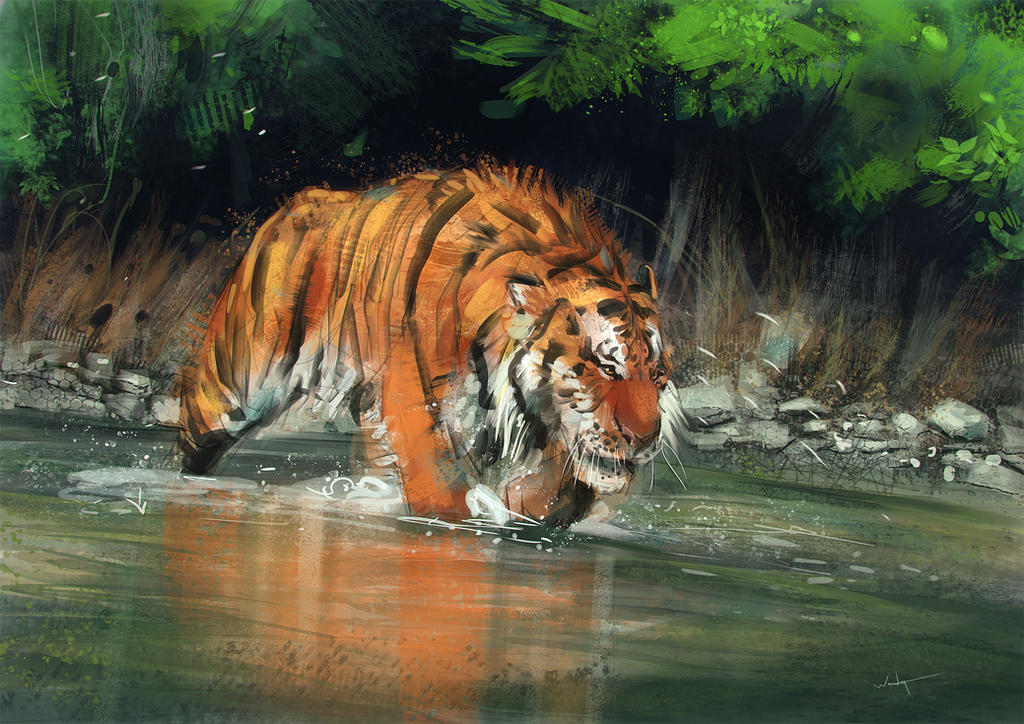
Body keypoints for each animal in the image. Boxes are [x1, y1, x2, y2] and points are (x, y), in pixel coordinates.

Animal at [178, 164, 671, 526]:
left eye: (659, 376)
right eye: (604, 367)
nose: (647, 439)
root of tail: (286, 210)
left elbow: (560, 491)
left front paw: (520, 507)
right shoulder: (414, 404)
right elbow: (441, 491)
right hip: (238, 380)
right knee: (195, 425)